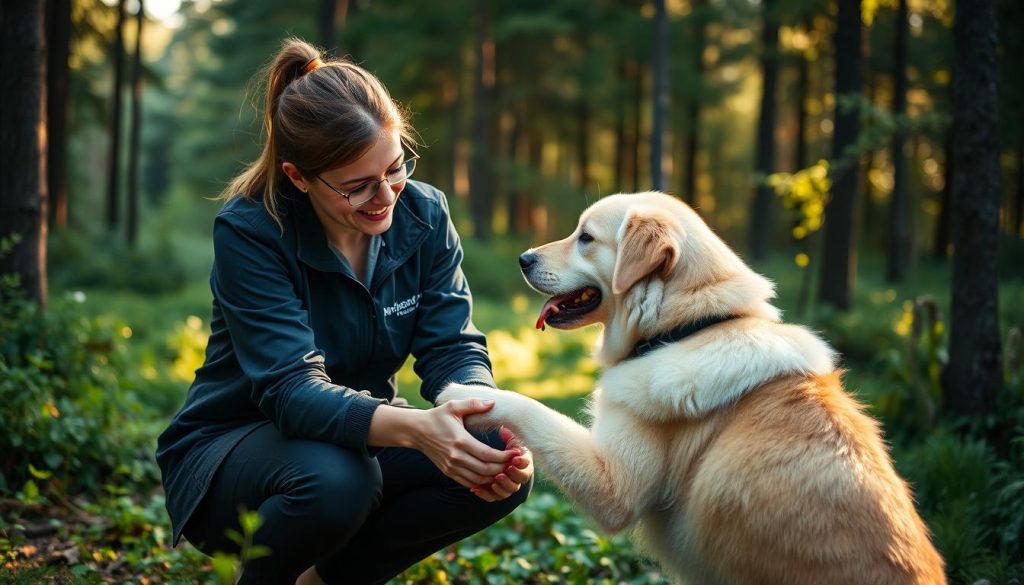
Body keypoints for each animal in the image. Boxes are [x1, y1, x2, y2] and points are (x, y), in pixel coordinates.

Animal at [436, 192, 946, 585]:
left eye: (585, 237)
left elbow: (534, 410)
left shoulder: (614, 486)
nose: (523, 258)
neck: (686, 329)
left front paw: (462, 396)